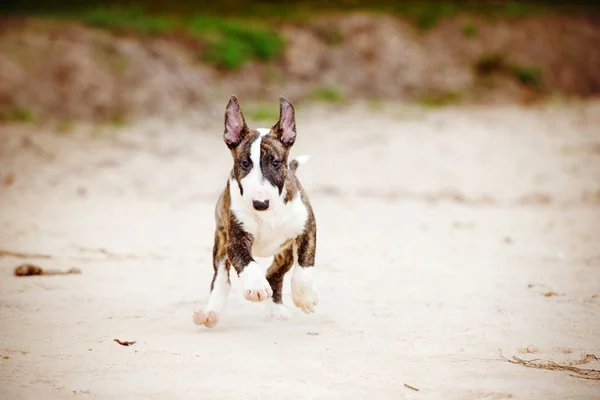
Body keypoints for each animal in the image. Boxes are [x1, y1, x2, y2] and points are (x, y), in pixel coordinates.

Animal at [196, 94, 318, 328]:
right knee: (221, 279)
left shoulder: (307, 227)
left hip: (283, 252)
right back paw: (210, 312)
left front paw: (305, 298)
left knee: (274, 273)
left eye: (276, 162)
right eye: (245, 163)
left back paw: (276, 309)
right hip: (220, 241)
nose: (260, 203)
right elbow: (246, 262)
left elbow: (304, 267)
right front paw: (256, 287)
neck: (268, 214)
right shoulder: (235, 239)